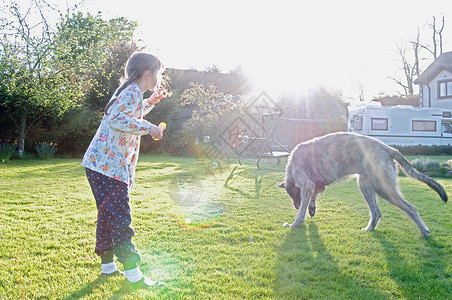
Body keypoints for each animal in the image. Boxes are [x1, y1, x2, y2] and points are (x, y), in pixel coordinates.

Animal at [278, 132, 448, 238]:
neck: (292, 164)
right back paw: (369, 228)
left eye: (293, 195)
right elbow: (314, 195)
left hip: (383, 187)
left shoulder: (306, 185)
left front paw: (295, 223)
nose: (295, 206)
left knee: (410, 208)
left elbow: (303, 207)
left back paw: (424, 232)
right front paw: (311, 209)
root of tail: (387, 148)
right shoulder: (317, 186)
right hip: (366, 185)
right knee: (376, 212)